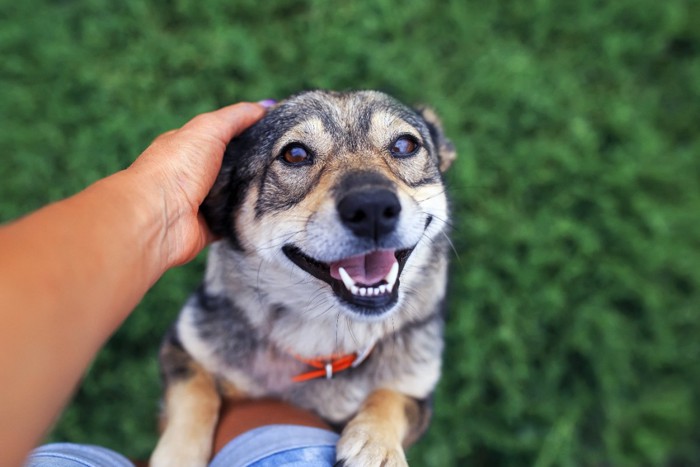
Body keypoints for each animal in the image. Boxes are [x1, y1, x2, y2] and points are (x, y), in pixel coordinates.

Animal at [150, 91, 456, 467]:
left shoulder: (419, 393)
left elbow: (390, 397)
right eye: (295, 154)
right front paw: (178, 453)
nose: (372, 208)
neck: (323, 331)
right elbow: (195, 392)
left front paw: (376, 445)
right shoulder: (183, 346)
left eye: (404, 145)